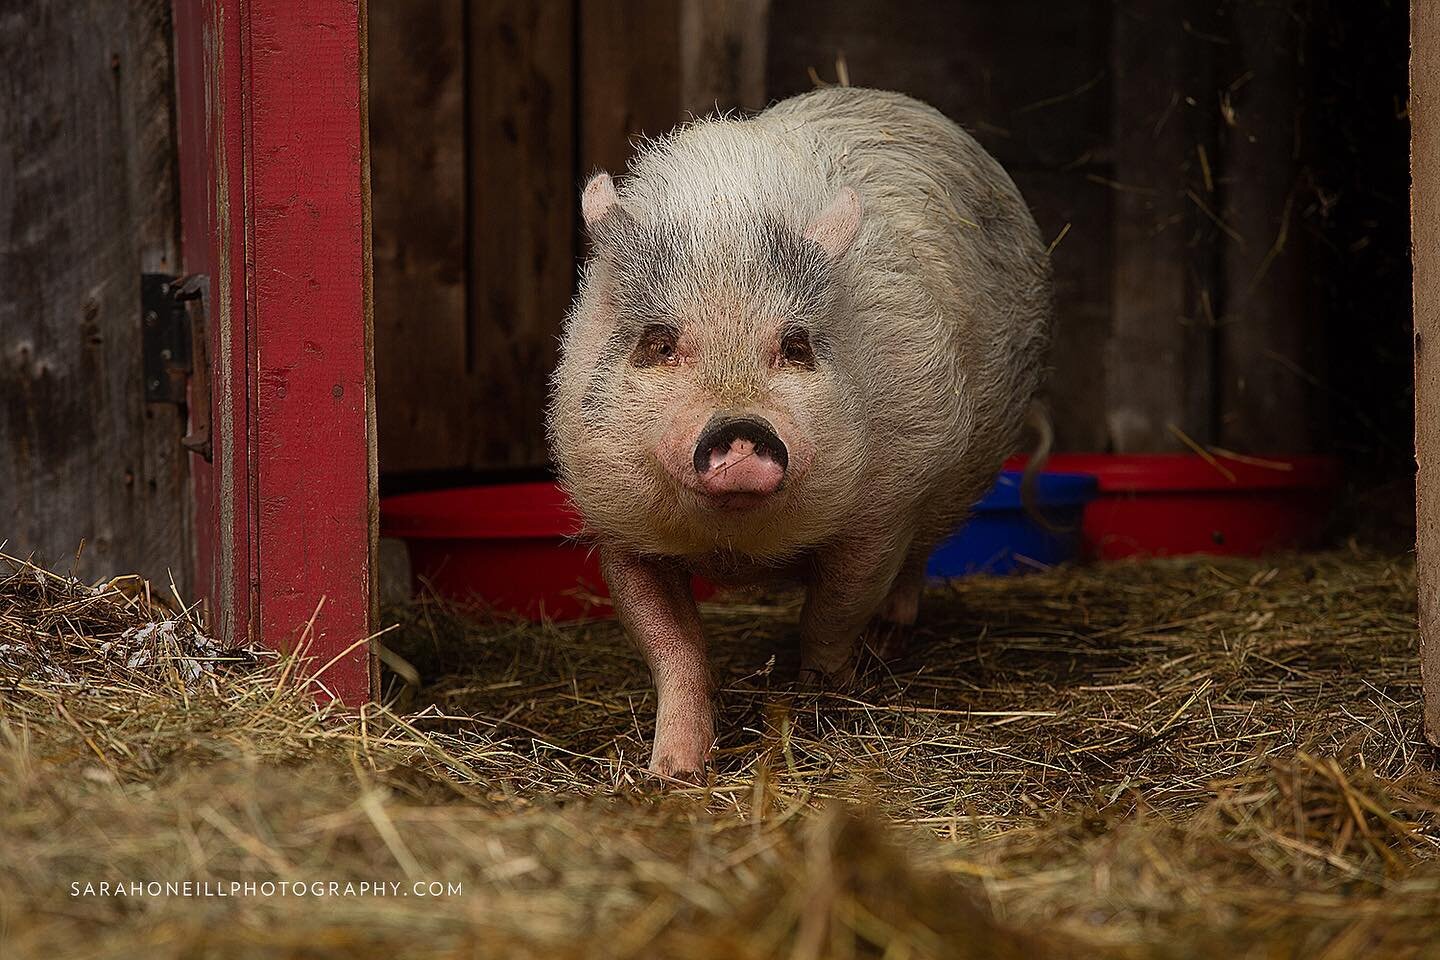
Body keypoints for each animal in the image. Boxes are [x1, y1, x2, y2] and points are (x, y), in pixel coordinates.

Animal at [548, 87, 1051, 781]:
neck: (738, 547)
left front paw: (819, 704)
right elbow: (674, 651)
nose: (739, 430)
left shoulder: (883, 510)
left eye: (796, 346)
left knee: (916, 563)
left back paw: (889, 642)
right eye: (658, 342)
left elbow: (833, 615)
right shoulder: (619, 527)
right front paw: (672, 774)